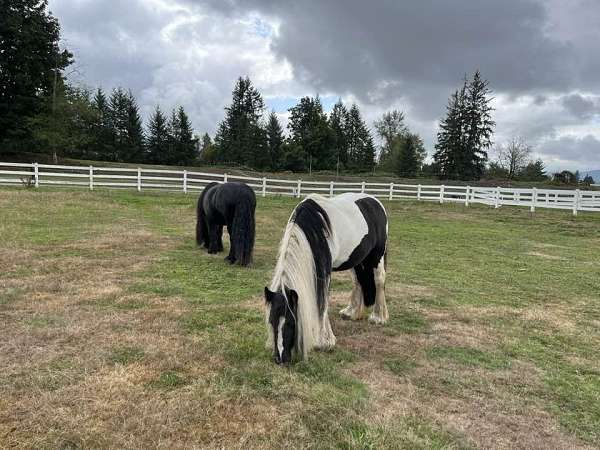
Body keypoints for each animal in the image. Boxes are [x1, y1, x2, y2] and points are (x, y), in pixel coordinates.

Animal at [264, 192, 390, 364]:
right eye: (271, 321)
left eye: (290, 322)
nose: (280, 359)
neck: (313, 227)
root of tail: (375, 201)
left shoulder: (324, 270)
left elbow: (323, 302)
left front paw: (324, 341)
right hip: (356, 259)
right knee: (357, 281)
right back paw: (351, 312)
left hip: (377, 255)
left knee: (379, 280)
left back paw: (378, 317)